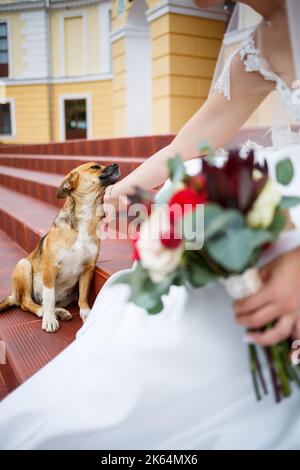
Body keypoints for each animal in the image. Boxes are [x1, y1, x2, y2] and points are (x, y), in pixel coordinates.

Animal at [0, 163, 119, 332]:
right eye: (95, 167)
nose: (116, 164)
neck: (86, 218)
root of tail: (13, 295)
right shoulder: (50, 269)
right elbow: (49, 298)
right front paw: (49, 319)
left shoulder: (88, 269)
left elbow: (83, 296)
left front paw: (86, 314)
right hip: (23, 265)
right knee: (25, 302)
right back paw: (42, 311)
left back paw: (61, 312)